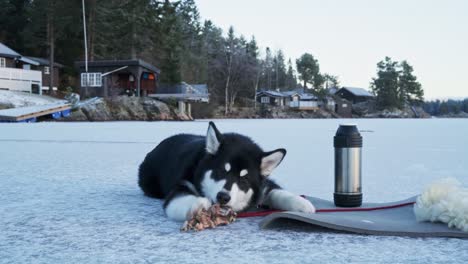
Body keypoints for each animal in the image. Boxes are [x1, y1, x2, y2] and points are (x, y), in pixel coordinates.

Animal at [138, 122, 314, 221]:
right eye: (220, 172)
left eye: (244, 179)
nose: (223, 197)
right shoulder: (181, 184)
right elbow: (179, 199)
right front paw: (197, 204)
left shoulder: (264, 185)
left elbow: (276, 191)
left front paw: (301, 202)